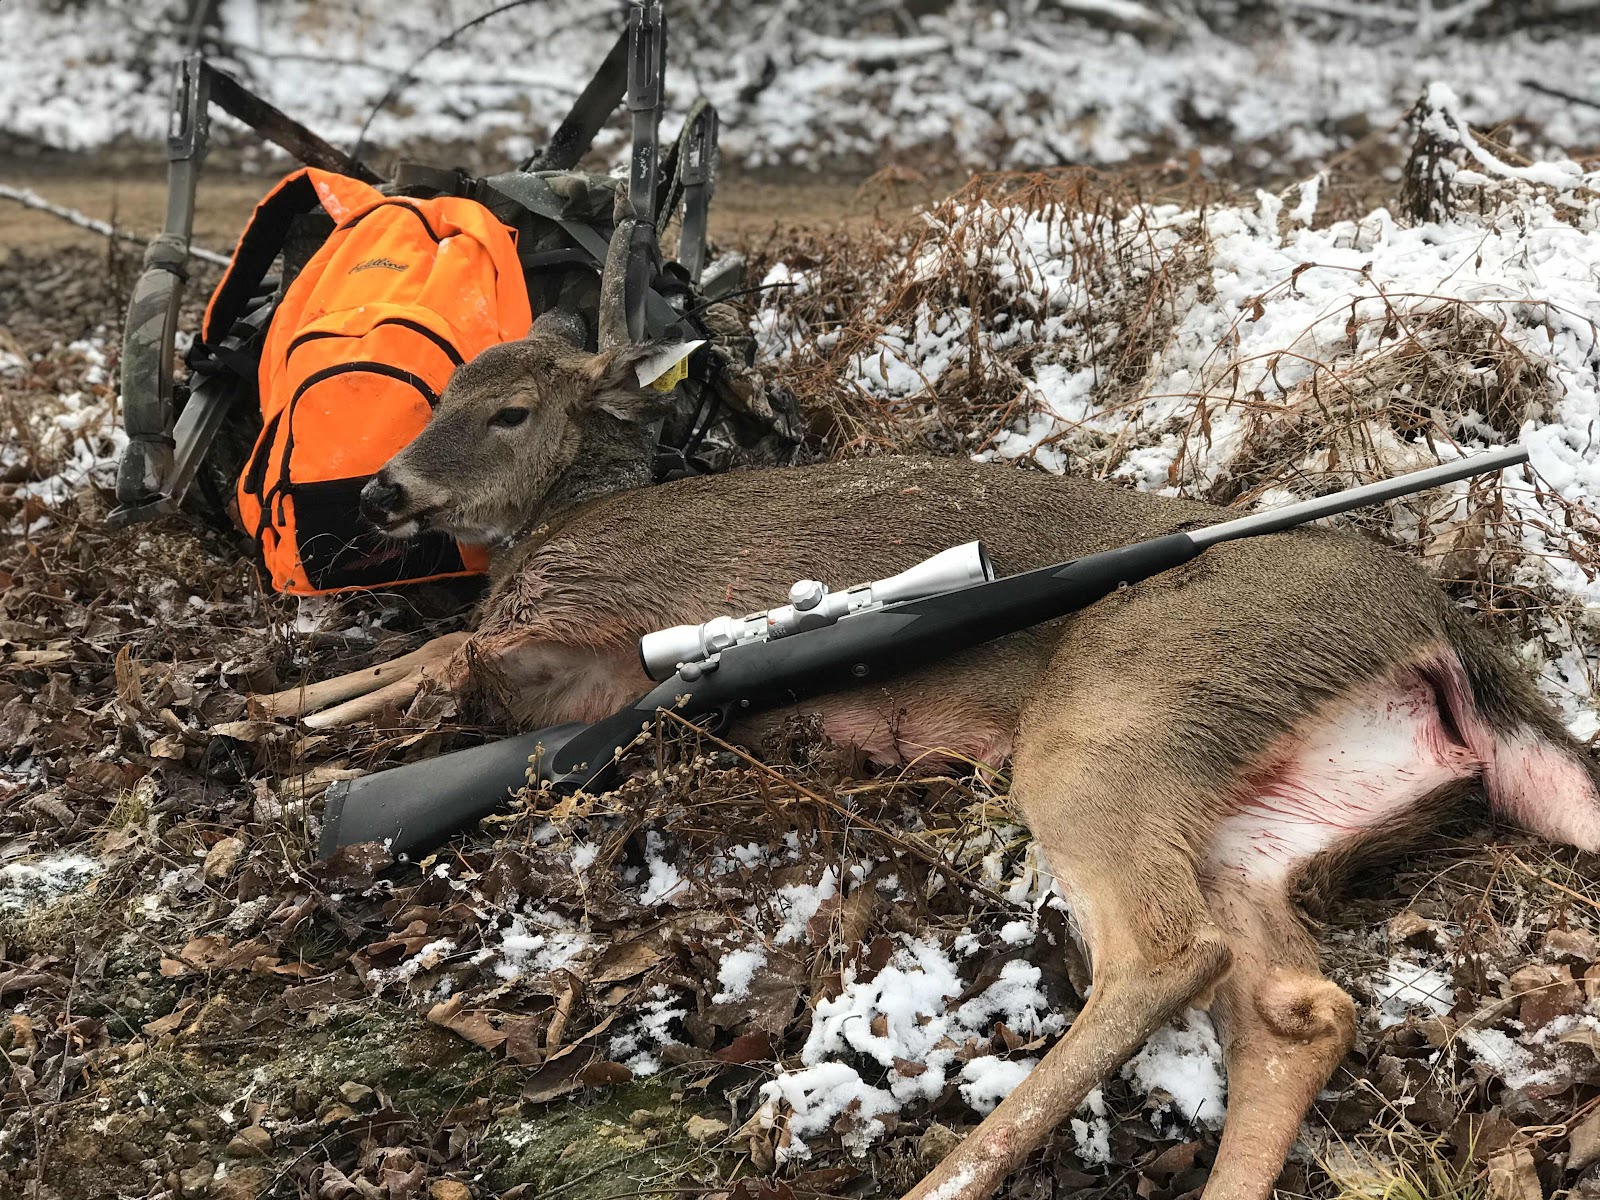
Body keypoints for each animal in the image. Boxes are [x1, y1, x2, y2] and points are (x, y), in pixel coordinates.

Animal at [253, 217, 1600, 1200]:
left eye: (509, 410)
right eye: (443, 390)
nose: (379, 492)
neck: (562, 521)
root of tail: (1442, 625)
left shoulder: (586, 621)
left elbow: (441, 659)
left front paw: (286, 736)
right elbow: (434, 660)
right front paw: (289, 714)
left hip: (1120, 713)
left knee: (1168, 953)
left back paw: (949, 1176)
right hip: (1262, 819)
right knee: (1300, 1006)